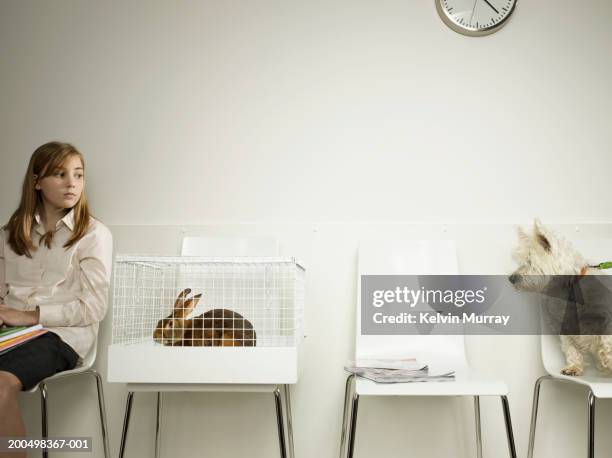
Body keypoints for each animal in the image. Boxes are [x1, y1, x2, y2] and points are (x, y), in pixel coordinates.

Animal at [510, 221, 608, 376]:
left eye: (529, 261)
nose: (511, 278)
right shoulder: (565, 325)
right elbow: (571, 349)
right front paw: (573, 367)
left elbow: (606, 343)